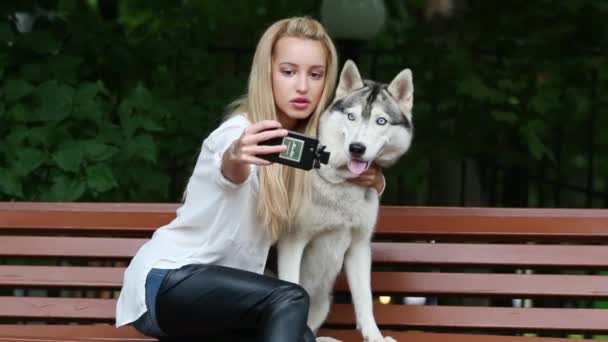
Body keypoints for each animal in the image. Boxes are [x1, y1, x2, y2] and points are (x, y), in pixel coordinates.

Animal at [280, 60, 414, 340]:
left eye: (381, 121)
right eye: (351, 116)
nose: (357, 148)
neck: (341, 183)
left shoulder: (359, 246)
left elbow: (364, 300)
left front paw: (374, 336)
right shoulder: (293, 242)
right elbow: (290, 284)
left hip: (323, 302)